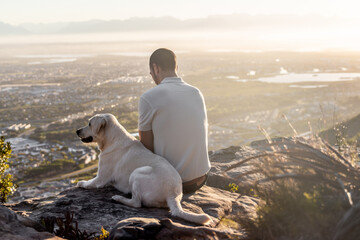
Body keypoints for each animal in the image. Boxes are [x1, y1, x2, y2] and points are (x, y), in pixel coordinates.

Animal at [75, 114, 211, 225]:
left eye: (89, 124)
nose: (77, 130)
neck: (112, 139)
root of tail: (172, 193)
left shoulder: (100, 178)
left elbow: (89, 183)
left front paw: (81, 183)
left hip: (137, 173)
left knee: (136, 203)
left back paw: (119, 198)